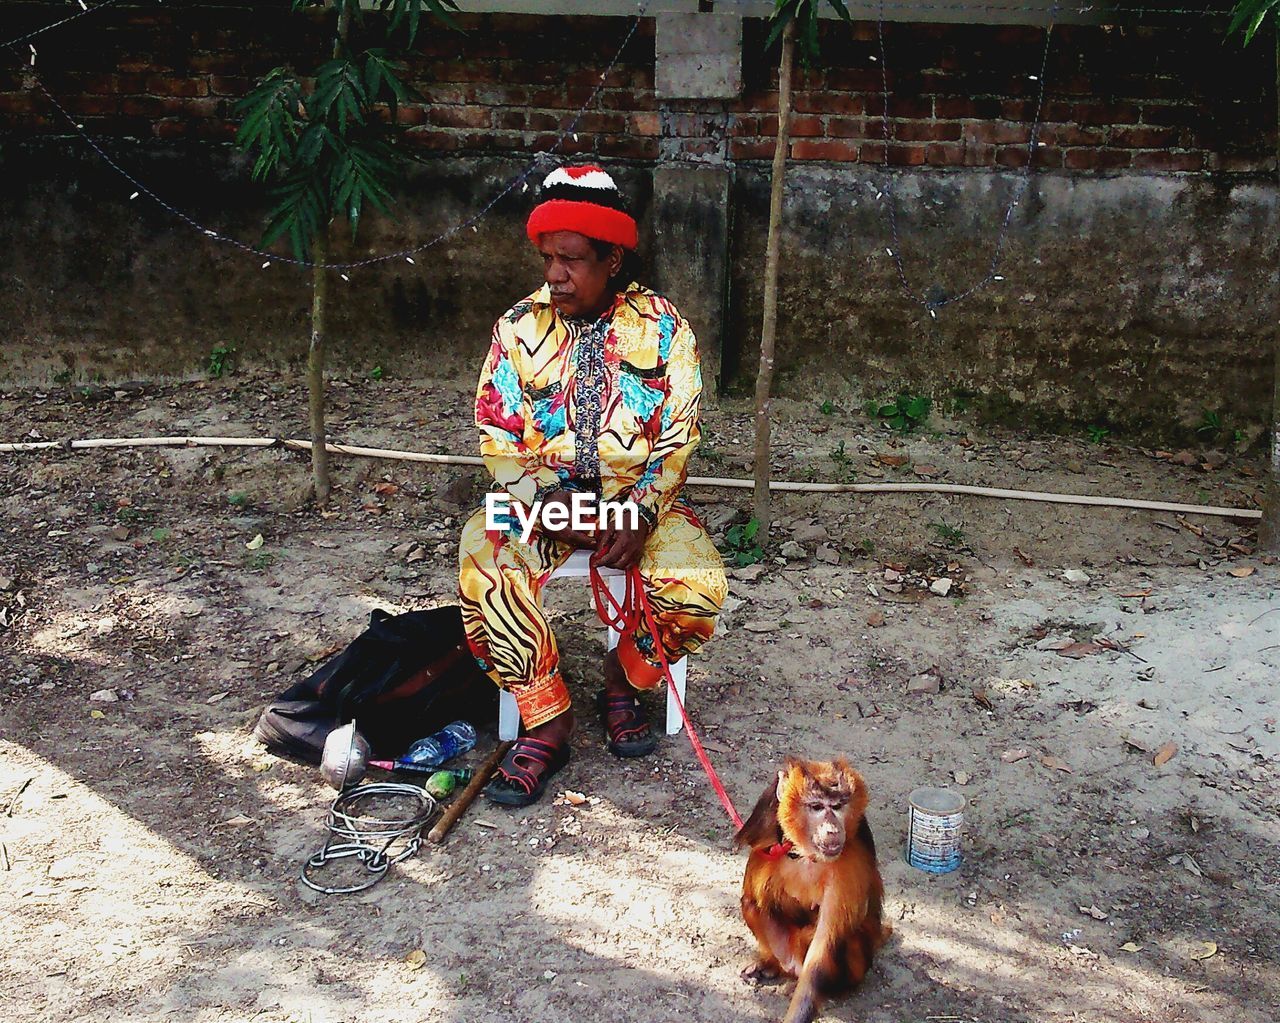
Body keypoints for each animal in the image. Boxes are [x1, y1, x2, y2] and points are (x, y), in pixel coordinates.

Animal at [732, 752, 890, 1023]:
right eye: (817, 807)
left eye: (837, 807)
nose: (832, 829)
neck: (806, 852)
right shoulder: (765, 837)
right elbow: (752, 897)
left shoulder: (851, 854)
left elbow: (823, 945)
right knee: (752, 904)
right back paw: (772, 965)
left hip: (856, 967)